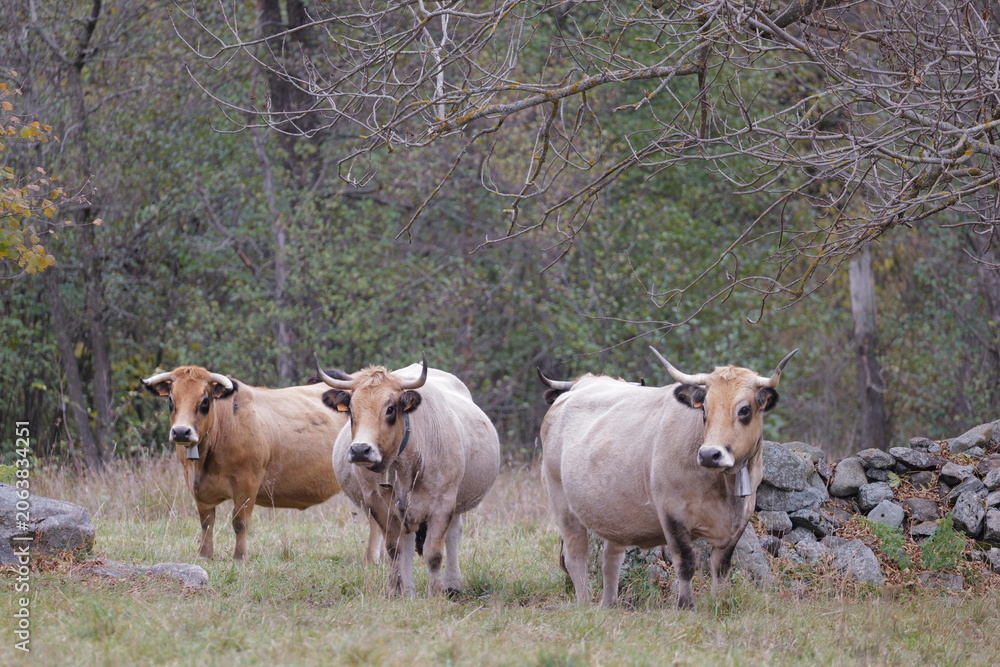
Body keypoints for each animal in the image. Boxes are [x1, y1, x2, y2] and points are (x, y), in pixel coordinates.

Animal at [141, 366, 350, 561]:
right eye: (170, 400)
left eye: (205, 401)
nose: (181, 432)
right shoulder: (197, 488)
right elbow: (206, 522)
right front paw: (204, 555)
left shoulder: (247, 483)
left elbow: (239, 522)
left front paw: (240, 557)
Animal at [314, 356, 501, 597]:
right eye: (351, 411)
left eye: (390, 409)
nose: (360, 450)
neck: (405, 463)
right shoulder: (378, 503)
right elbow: (395, 549)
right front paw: (395, 589)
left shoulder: (443, 503)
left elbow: (434, 553)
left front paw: (435, 592)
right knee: (408, 541)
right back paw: (410, 590)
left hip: (456, 503)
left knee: (453, 535)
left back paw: (452, 584)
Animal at [538, 346, 797, 609]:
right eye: (704, 409)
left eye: (744, 410)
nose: (709, 454)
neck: (723, 486)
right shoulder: (672, 513)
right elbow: (685, 562)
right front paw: (686, 606)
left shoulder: (739, 521)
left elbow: (721, 567)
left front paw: (719, 603)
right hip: (563, 506)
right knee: (576, 558)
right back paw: (584, 604)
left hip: (615, 513)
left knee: (610, 560)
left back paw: (609, 605)